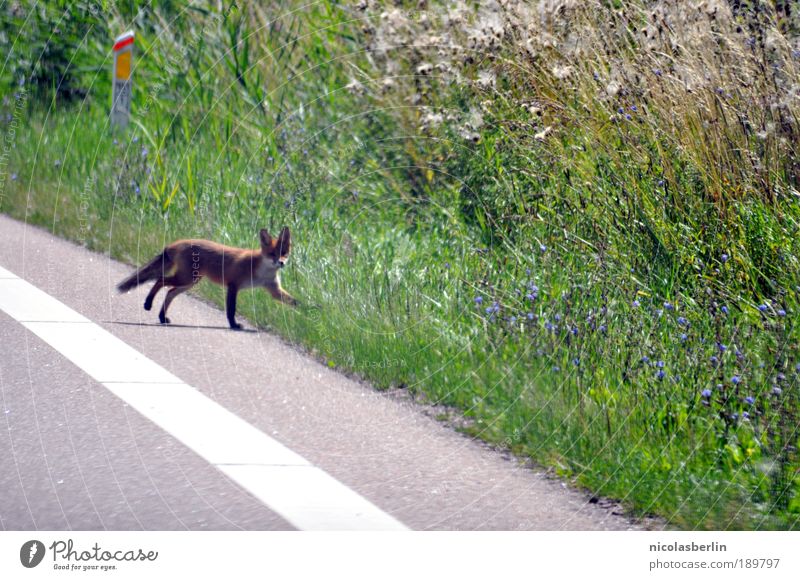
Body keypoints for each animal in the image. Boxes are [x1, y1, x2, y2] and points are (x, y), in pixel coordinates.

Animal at [117, 227, 296, 328]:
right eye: (272, 254)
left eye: (284, 253)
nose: (281, 263)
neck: (261, 270)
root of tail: (173, 244)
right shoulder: (233, 285)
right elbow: (231, 309)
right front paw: (234, 325)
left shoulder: (274, 290)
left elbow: (295, 302)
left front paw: (303, 314)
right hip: (186, 279)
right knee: (160, 280)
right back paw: (148, 303)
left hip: (189, 282)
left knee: (169, 292)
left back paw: (162, 317)